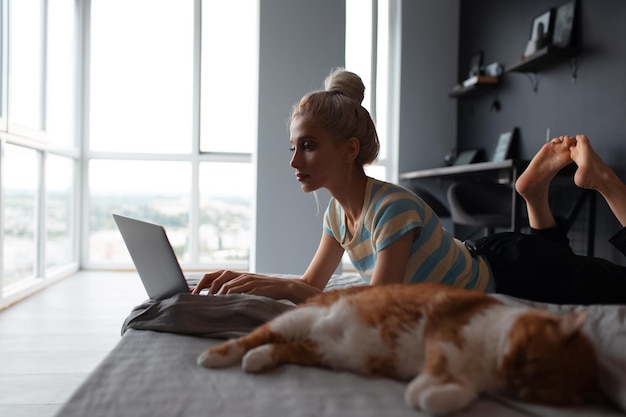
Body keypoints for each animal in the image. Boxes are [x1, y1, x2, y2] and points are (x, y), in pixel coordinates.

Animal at [196, 282, 596, 412]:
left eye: (528, 389)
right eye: (526, 354)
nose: (508, 372)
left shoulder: (473, 381)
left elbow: (460, 393)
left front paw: (433, 398)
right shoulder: (444, 333)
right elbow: (433, 368)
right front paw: (418, 391)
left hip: (323, 350)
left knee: (278, 349)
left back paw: (258, 361)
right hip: (295, 322)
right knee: (253, 336)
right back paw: (215, 356)